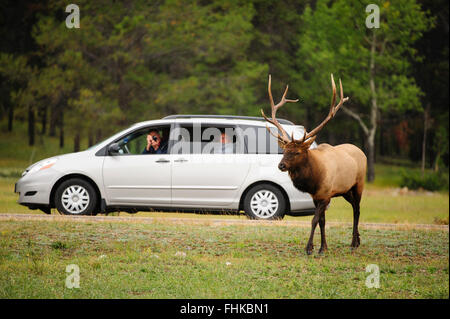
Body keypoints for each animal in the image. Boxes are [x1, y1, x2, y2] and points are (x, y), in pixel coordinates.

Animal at [262, 74, 368, 255]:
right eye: (284, 150)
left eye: (297, 152)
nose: (281, 166)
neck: (314, 179)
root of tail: (361, 151)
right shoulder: (316, 197)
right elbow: (322, 222)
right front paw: (323, 247)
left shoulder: (325, 195)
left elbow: (314, 220)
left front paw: (310, 248)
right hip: (345, 190)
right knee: (355, 206)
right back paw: (358, 240)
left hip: (358, 184)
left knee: (357, 209)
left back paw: (354, 242)